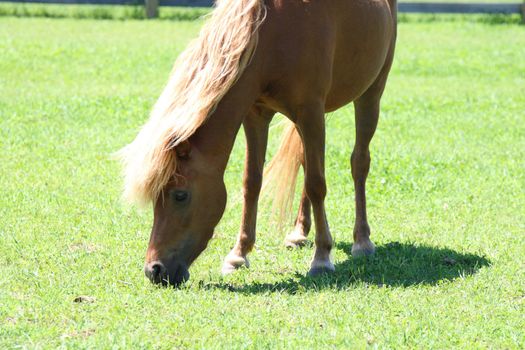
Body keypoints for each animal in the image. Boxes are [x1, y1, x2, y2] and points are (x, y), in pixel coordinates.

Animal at [119, 0, 398, 286]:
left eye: (180, 195)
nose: (154, 270)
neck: (273, 35)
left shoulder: (310, 112)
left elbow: (317, 184)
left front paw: (322, 258)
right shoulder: (256, 115)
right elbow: (252, 182)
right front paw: (238, 254)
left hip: (370, 94)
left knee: (359, 163)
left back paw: (362, 240)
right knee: (305, 162)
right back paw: (299, 232)